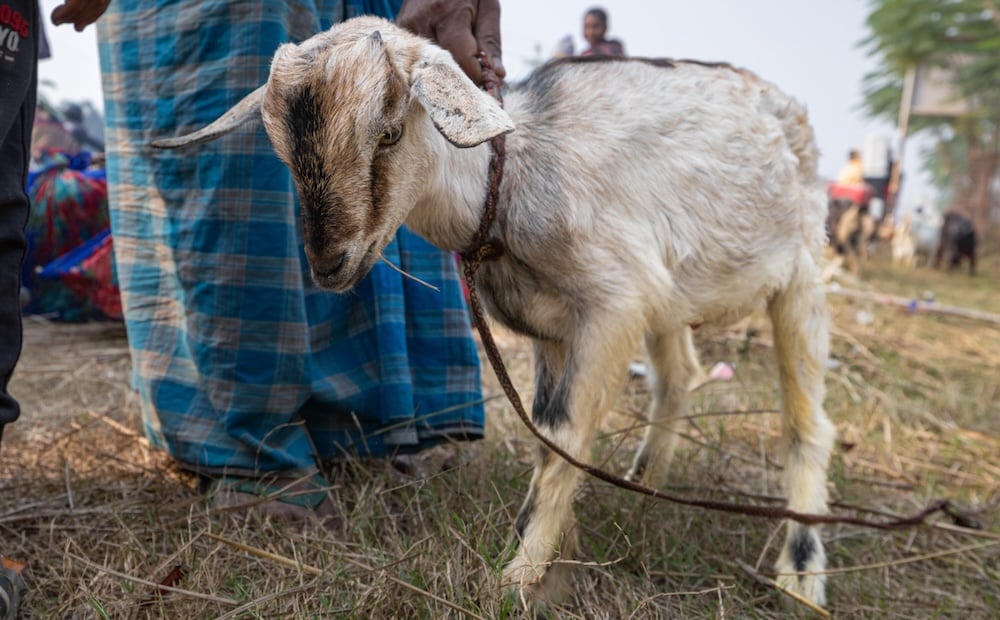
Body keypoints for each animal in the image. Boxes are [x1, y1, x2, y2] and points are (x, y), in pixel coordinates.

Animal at [150, 17, 836, 608]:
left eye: (389, 132)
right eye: (283, 153)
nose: (328, 264)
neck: (508, 178)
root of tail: (785, 104)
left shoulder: (610, 308)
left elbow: (560, 436)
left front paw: (516, 578)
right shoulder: (558, 327)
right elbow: (548, 437)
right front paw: (557, 562)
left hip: (800, 276)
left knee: (805, 423)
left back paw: (801, 576)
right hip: (672, 296)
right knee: (678, 376)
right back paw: (644, 482)